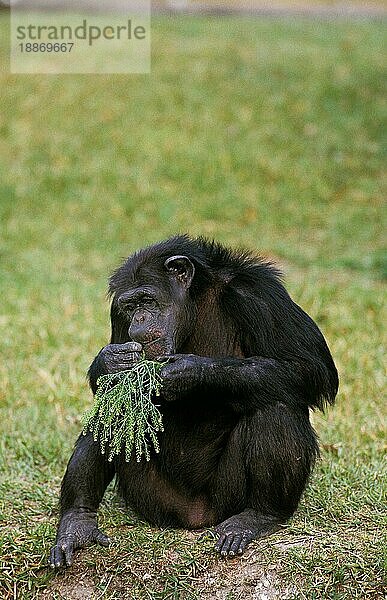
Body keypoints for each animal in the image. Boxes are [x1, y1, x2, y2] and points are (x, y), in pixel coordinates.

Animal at [49, 234, 340, 568]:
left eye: (147, 300)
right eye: (130, 306)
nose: (139, 317)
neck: (194, 306)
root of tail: (194, 519)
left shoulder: (261, 294)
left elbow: (310, 368)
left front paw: (189, 372)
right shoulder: (116, 313)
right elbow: (109, 387)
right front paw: (112, 361)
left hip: (225, 497)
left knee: (278, 405)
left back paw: (260, 516)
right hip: (151, 498)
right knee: (115, 407)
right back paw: (77, 522)